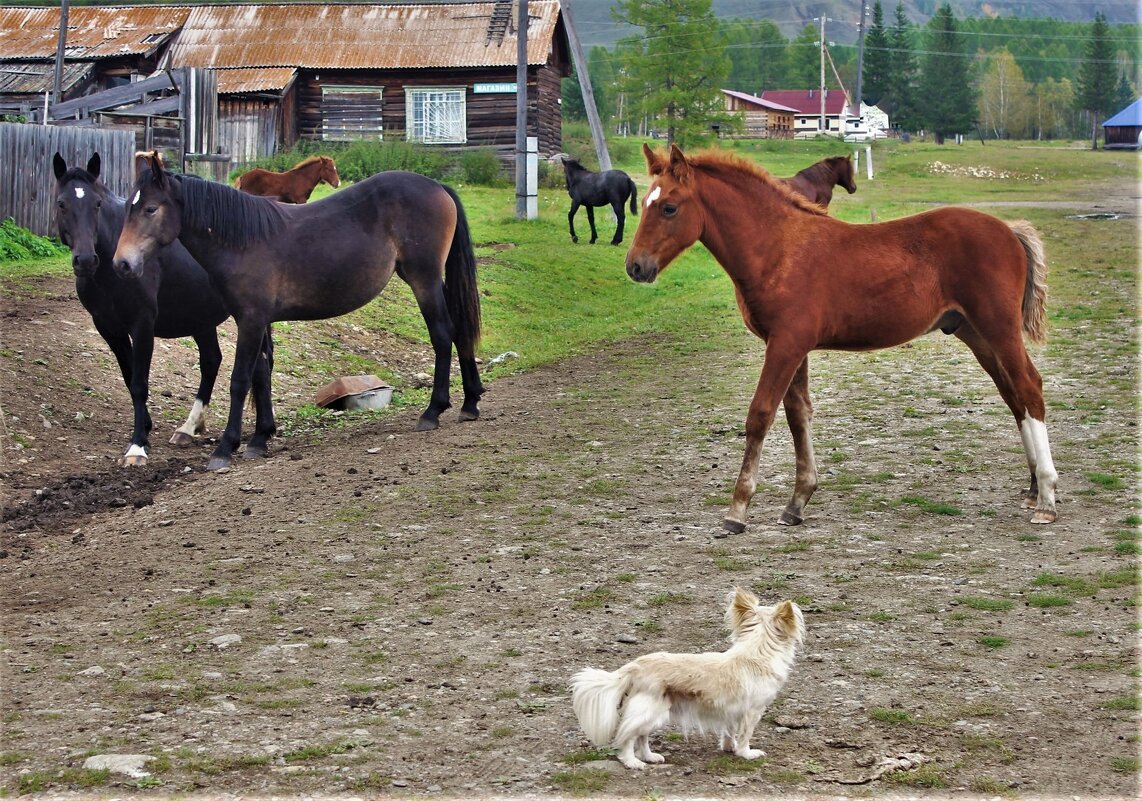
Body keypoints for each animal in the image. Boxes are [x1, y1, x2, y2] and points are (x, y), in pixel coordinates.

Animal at [51, 151, 271, 466]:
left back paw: (261, 435)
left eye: (97, 204)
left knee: (259, 369)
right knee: (212, 361)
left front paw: (137, 447)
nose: (85, 260)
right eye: (62, 203)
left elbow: (140, 383)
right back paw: (189, 428)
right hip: (201, 318)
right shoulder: (109, 329)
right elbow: (129, 377)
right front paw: (144, 427)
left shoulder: (142, 324)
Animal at [117, 153, 486, 470]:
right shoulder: (259, 320)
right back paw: (470, 402)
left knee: (443, 334)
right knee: (459, 332)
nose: (122, 263)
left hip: (424, 279)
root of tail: (437, 186)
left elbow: (240, 380)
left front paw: (226, 447)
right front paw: (259, 438)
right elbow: (261, 374)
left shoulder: (250, 320)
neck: (241, 241)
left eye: (150, 208)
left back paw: (433, 410)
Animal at [568, 589, 803, 767]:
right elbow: (745, 735)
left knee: (642, 736)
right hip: (651, 710)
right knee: (628, 737)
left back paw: (649, 757)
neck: (757, 651)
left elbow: (728, 732)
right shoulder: (752, 711)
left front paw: (729, 748)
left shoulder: (730, 711)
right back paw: (632, 762)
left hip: (654, 713)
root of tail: (635, 666)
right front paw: (746, 753)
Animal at [625, 143, 1050, 530]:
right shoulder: (792, 346)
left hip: (998, 328)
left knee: (1029, 387)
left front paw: (737, 510)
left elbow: (760, 415)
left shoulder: (786, 343)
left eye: (669, 208)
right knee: (1014, 396)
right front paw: (796, 503)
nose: (635, 267)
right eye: (643, 203)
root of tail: (1009, 230)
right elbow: (798, 414)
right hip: (975, 334)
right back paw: (1032, 489)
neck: (779, 248)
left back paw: (1047, 498)